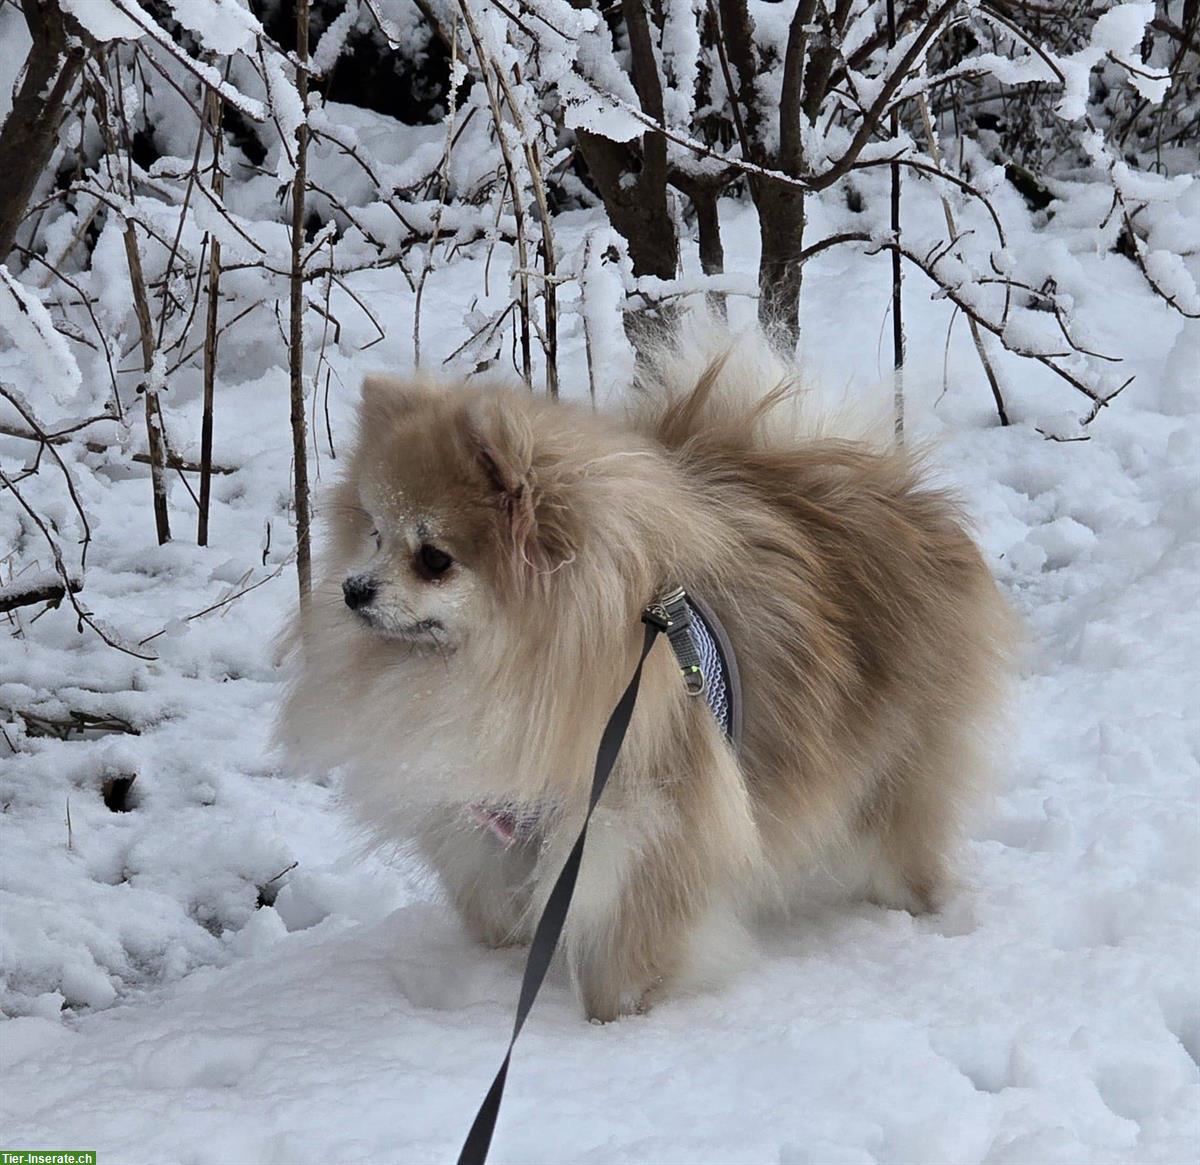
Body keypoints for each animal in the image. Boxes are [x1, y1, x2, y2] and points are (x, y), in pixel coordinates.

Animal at [278, 328, 1012, 1022]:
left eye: (433, 557)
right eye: (375, 534)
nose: (352, 589)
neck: (512, 662)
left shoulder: (638, 827)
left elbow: (628, 941)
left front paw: (617, 1021)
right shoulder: (493, 822)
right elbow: (497, 903)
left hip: (895, 766)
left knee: (903, 838)